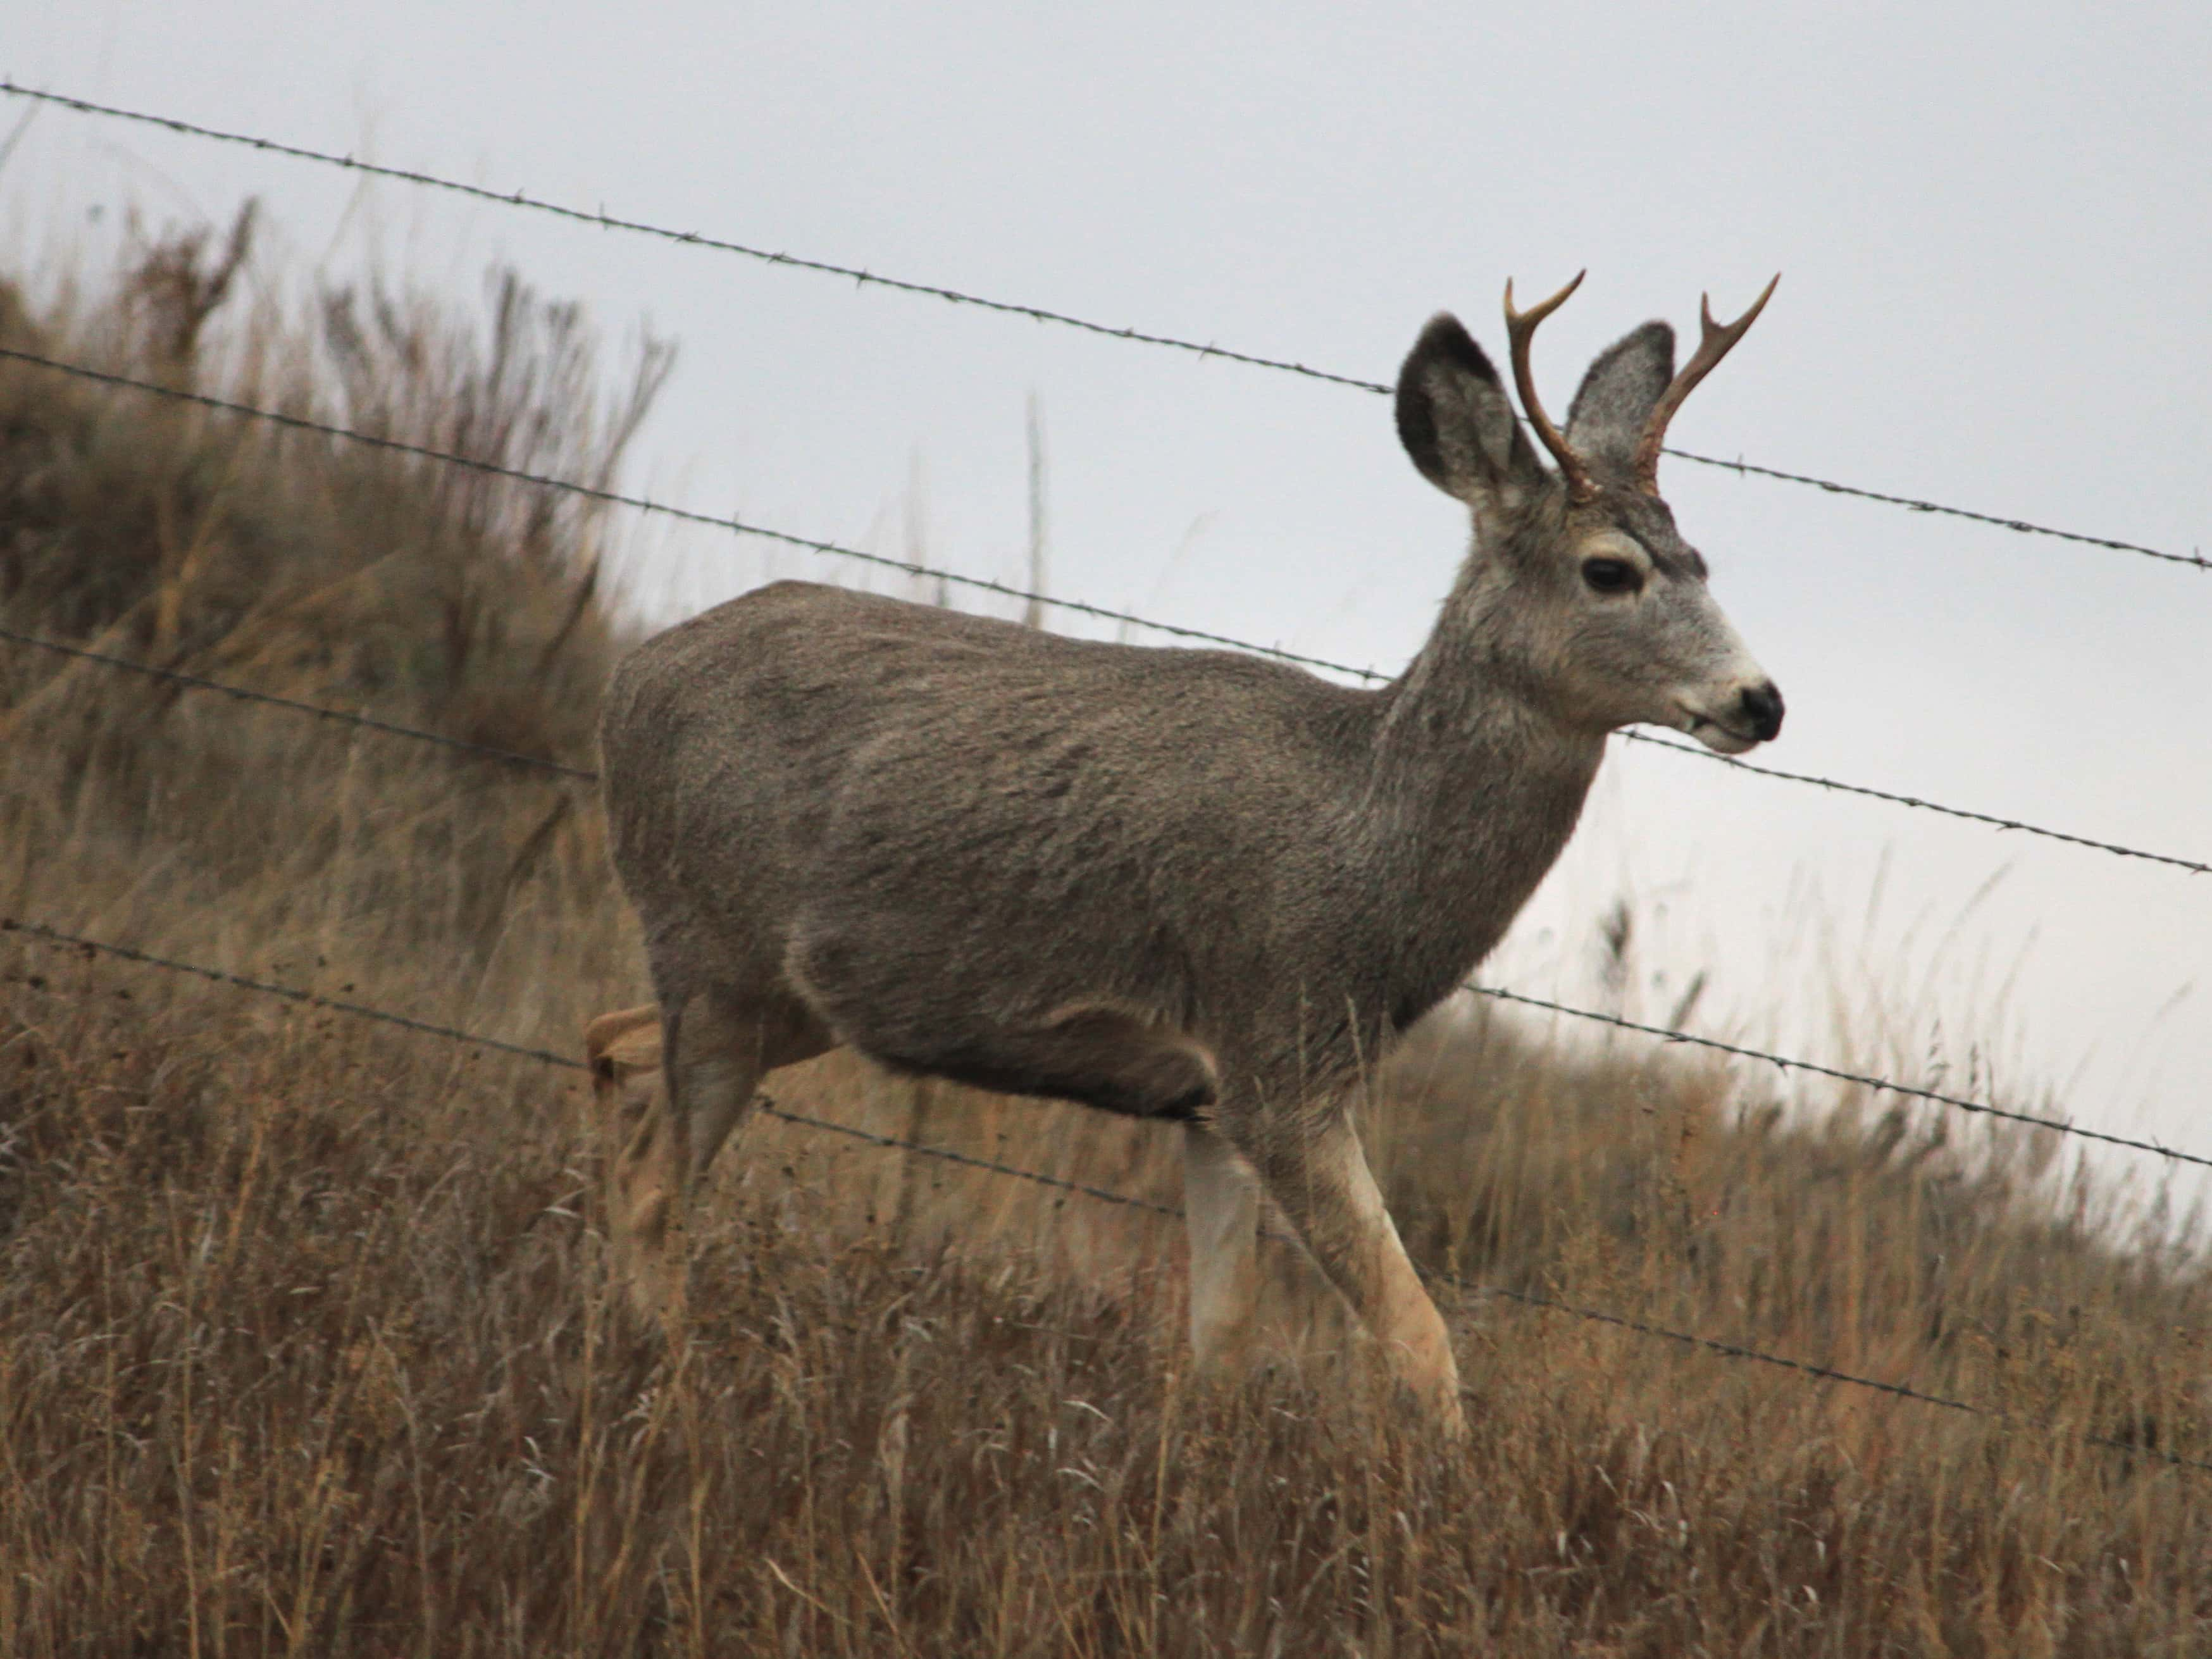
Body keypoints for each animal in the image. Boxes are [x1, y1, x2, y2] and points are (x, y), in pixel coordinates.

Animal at [588, 280, 1778, 1433]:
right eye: (1609, 570)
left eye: (1702, 559)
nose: (1760, 700)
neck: (1364, 842)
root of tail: (636, 675)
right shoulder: (1275, 1052)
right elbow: (1419, 1341)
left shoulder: (1208, 1097)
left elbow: (1223, 1337)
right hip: (716, 949)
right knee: (652, 1185)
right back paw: (671, 1392)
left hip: (790, 998)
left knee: (610, 1052)